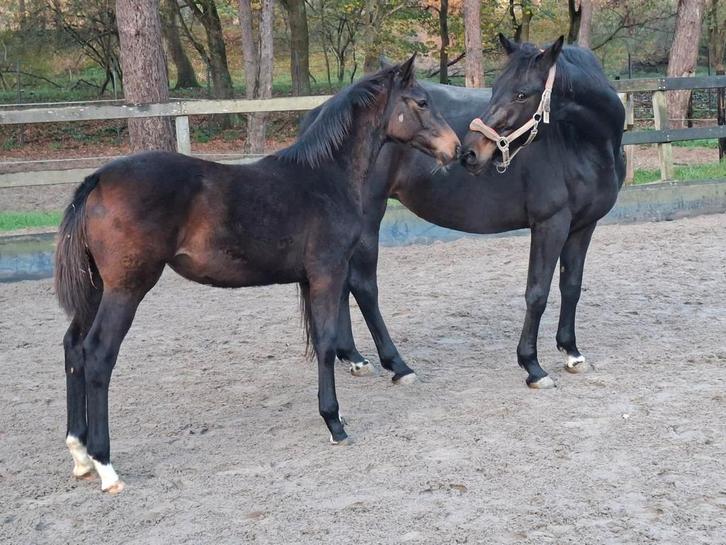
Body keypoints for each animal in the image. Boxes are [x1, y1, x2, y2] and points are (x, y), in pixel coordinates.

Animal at [54, 56, 460, 494]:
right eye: (421, 101)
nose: (455, 148)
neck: (326, 176)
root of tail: (97, 180)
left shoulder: (312, 278)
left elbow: (325, 339)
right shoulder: (328, 272)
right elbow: (326, 344)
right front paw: (335, 423)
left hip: (95, 289)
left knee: (73, 348)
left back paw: (80, 454)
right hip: (126, 289)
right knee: (98, 355)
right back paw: (105, 465)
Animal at [326, 35, 625, 388]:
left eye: (522, 93)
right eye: (495, 88)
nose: (469, 152)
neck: (586, 143)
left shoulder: (583, 225)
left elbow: (572, 286)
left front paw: (572, 353)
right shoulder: (550, 224)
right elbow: (537, 293)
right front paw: (532, 366)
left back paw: (354, 358)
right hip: (370, 218)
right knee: (363, 286)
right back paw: (397, 365)